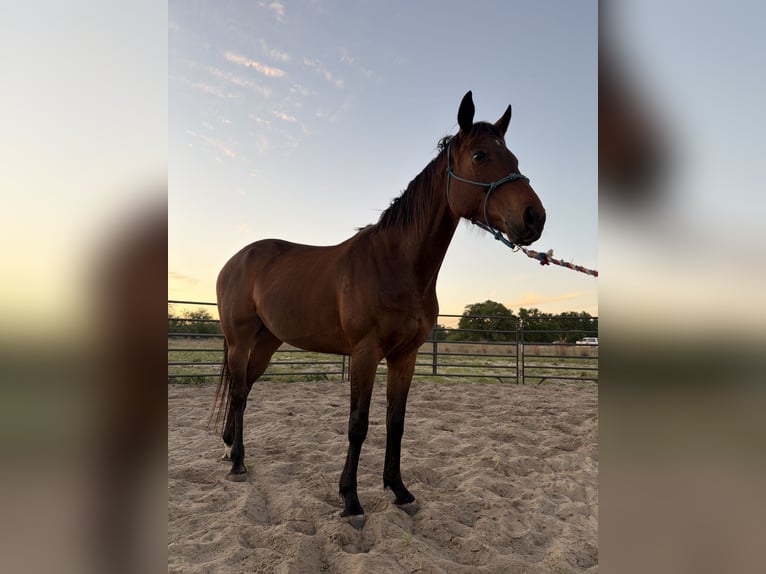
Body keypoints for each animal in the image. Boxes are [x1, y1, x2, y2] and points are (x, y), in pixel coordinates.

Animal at [212, 91, 546, 528]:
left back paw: (230, 447)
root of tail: (235, 260)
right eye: (480, 156)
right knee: (237, 393)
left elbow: (396, 423)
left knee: (246, 388)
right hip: (239, 340)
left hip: (268, 342)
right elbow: (358, 425)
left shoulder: (406, 356)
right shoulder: (365, 353)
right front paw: (351, 501)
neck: (396, 263)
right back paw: (236, 463)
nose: (534, 217)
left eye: (515, 158)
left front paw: (399, 490)